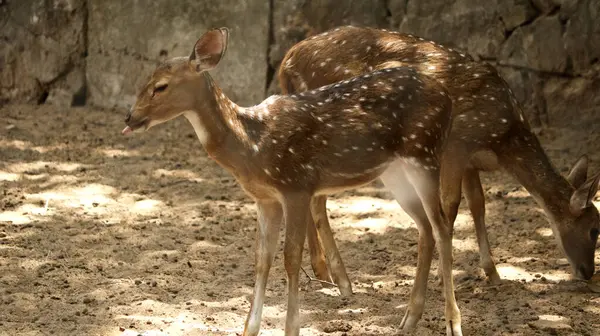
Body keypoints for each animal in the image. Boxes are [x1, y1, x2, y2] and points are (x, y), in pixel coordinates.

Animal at [123, 28, 464, 336]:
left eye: (161, 86)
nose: (129, 117)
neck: (252, 145)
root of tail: (448, 99)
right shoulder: (266, 198)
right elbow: (262, 258)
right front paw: (249, 329)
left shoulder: (297, 186)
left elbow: (290, 258)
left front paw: (292, 328)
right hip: (394, 172)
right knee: (425, 228)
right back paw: (409, 320)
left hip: (425, 153)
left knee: (443, 226)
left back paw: (452, 323)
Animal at [278, 24, 600, 302]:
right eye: (595, 229)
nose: (587, 272)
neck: (503, 138)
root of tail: (286, 62)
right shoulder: (458, 144)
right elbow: (451, 205)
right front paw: (443, 277)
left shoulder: (470, 161)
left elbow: (478, 204)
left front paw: (493, 273)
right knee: (318, 201)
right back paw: (343, 281)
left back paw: (322, 272)